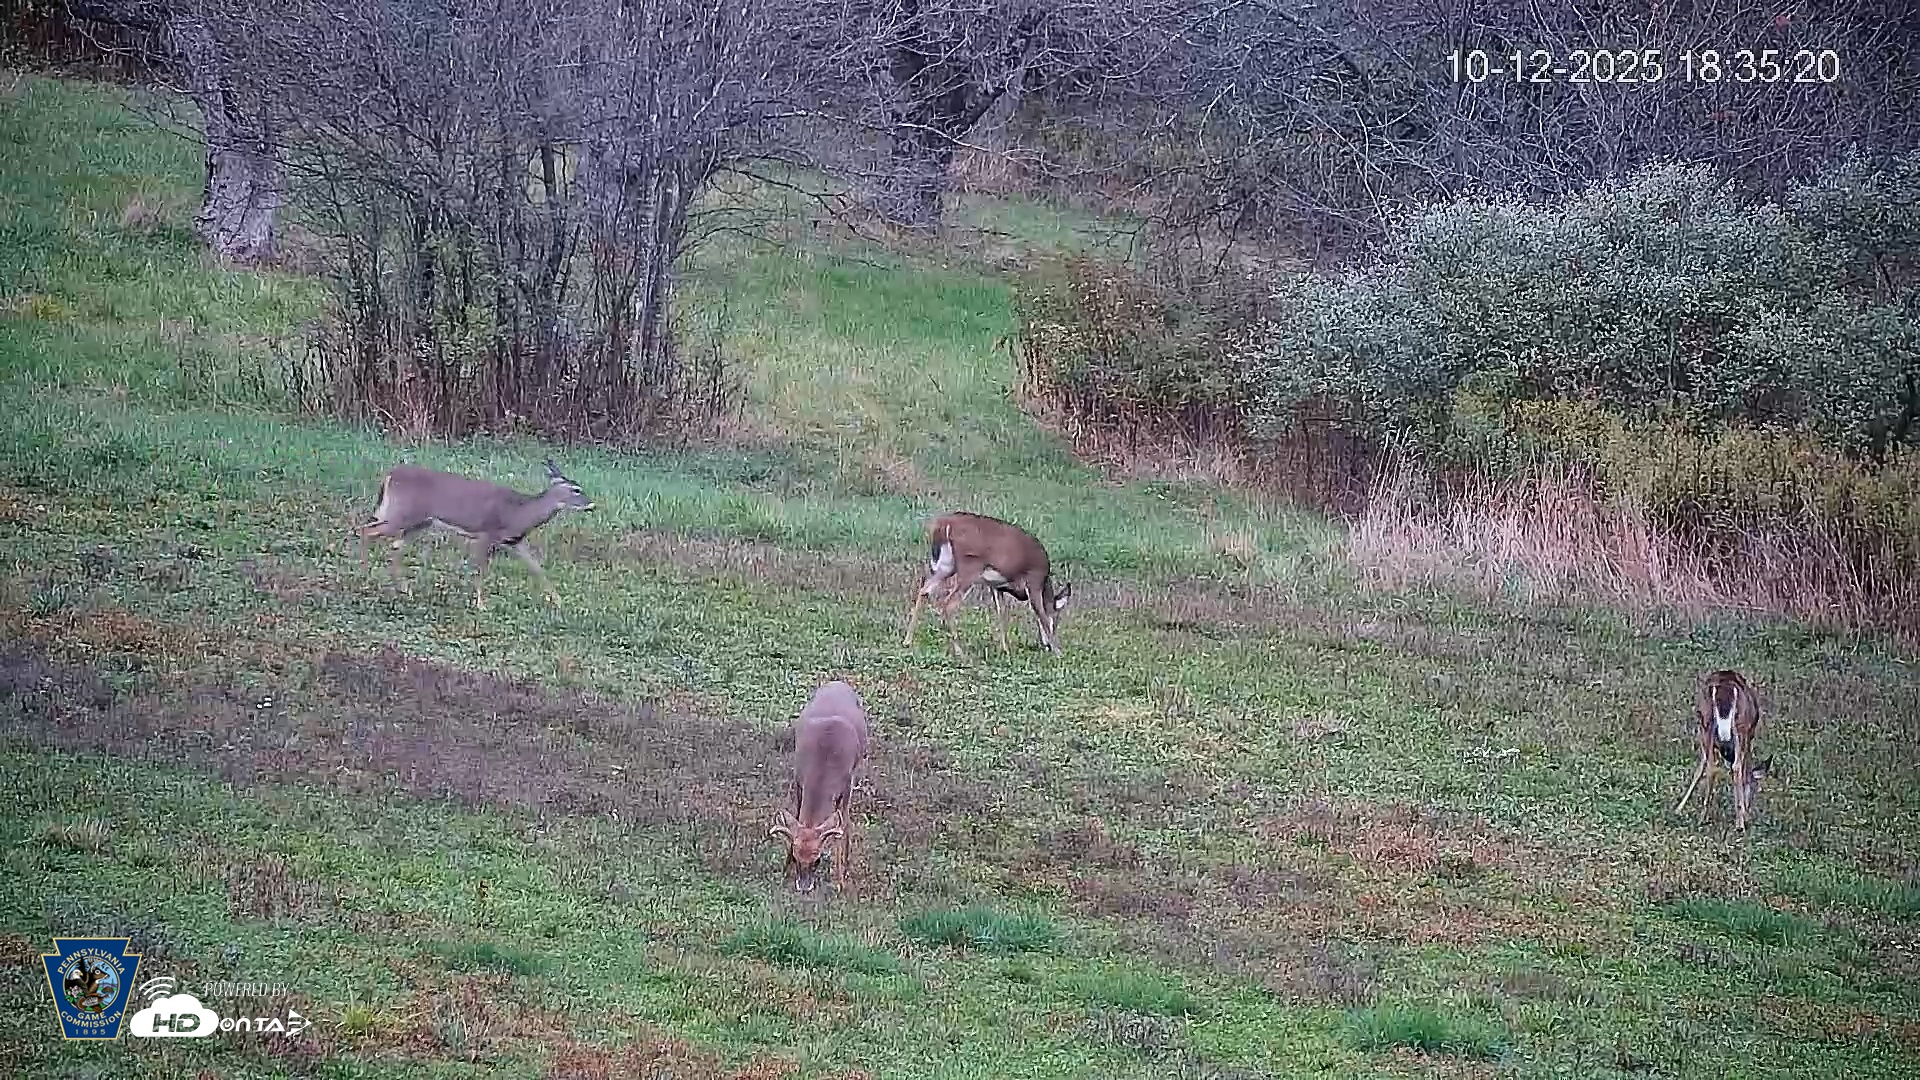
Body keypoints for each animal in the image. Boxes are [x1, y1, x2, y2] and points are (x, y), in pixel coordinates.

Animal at [354, 459, 595, 612]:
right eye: (576, 490)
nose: (591, 504)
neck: (520, 512)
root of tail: (389, 475)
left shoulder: (514, 542)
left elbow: (537, 568)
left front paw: (559, 602)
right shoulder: (486, 534)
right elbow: (481, 570)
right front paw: (481, 604)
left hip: (417, 522)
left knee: (393, 546)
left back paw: (404, 590)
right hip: (403, 515)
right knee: (366, 531)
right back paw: (365, 578)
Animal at [768, 680, 870, 896]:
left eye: (817, 860)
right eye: (796, 857)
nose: (804, 887)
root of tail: (838, 682)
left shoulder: (846, 787)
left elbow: (843, 826)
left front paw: (840, 879)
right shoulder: (799, 779)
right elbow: (797, 815)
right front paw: (784, 870)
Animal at [901, 511, 1071, 660]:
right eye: (1057, 619)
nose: (1046, 645)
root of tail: (944, 526)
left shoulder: (996, 586)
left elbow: (1001, 614)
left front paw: (1005, 649)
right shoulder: (1034, 580)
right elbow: (1041, 615)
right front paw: (1058, 651)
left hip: (945, 566)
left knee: (924, 590)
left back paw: (907, 640)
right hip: (969, 567)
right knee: (949, 603)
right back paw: (960, 651)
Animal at [1673, 668, 1774, 831]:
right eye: (1755, 788)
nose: (1748, 810)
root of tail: (1725, 690)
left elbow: (1699, 768)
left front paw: (1678, 808)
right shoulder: (1748, 735)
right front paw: (1742, 813)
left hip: (1706, 723)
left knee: (1712, 766)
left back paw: (1703, 817)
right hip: (1740, 726)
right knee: (1736, 766)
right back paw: (1739, 824)